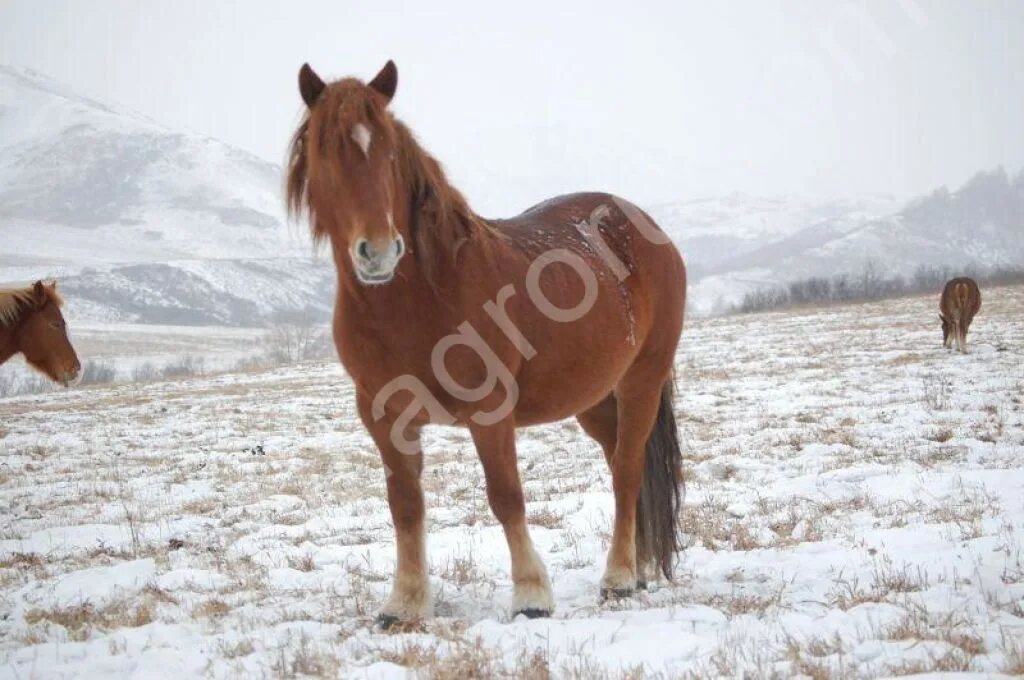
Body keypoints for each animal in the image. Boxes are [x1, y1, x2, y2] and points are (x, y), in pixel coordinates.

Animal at [288, 61, 688, 622]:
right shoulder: (383, 416)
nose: (379, 251)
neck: (421, 297)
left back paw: (619, 578)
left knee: (628, 471)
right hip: (592, 398)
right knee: (619, 466)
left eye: (389, 152)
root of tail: (644, 227)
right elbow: (405, 504)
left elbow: (505, 495)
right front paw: (405, 603)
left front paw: (531, 595)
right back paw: (642, 566)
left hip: (640, 382)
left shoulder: (490, 409)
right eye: (325, 152)